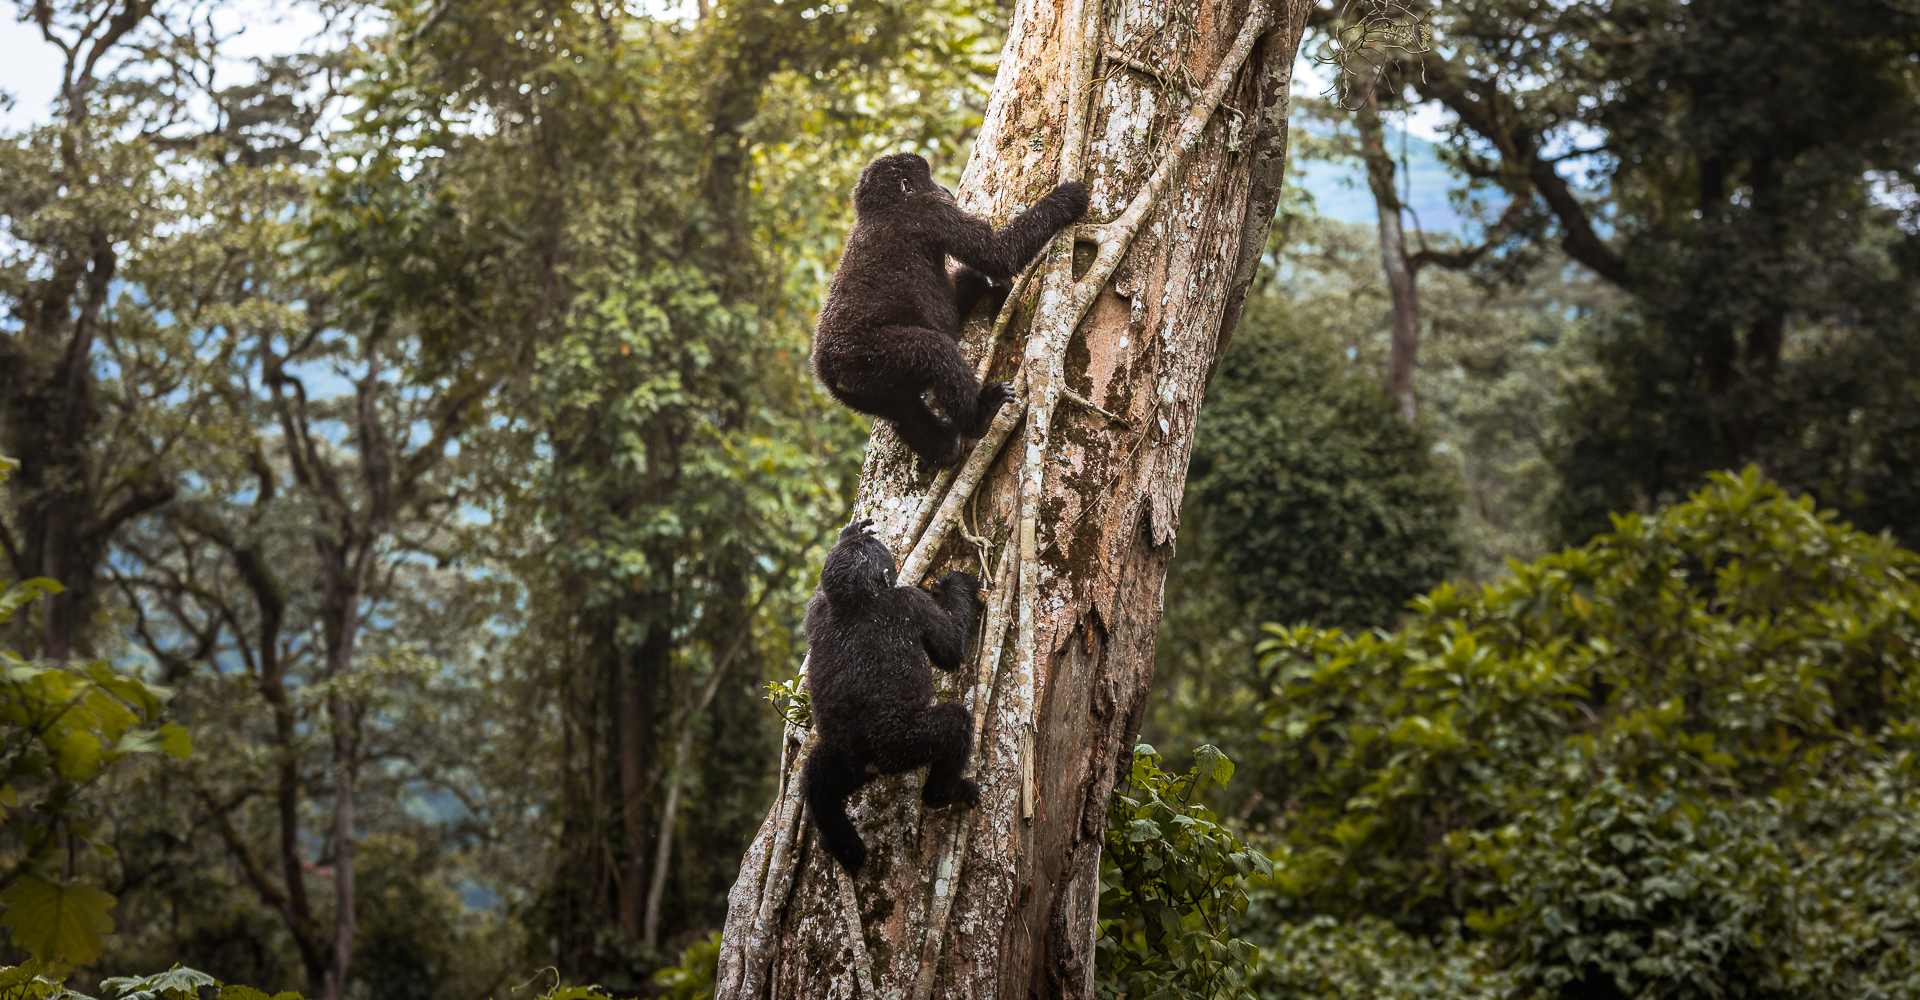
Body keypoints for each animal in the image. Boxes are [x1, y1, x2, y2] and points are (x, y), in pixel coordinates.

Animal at [801, 516, 984, 874]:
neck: (855, 603)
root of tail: (868, 759)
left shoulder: (818, 607)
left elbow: (819, 588)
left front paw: (848, 535)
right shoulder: (911, 601)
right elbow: (950, 652)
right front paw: (958, 584)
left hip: (841, 761)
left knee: (816, 788)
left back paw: (845, 846)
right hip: (904, 747)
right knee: (955, 725)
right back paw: (944, 794)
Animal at [811, 152, 1091, 467]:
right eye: (931, 178)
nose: (945, 187)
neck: (883, 208)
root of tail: (827, 369)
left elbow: (974, 278)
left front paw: (992, 286)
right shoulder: (932, 212)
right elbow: (997, 254)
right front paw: (1065, 200)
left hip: (856, 390)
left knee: (901, 410)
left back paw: (943, 448)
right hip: (862, 358)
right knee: (934, 352)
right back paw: (977, 417)